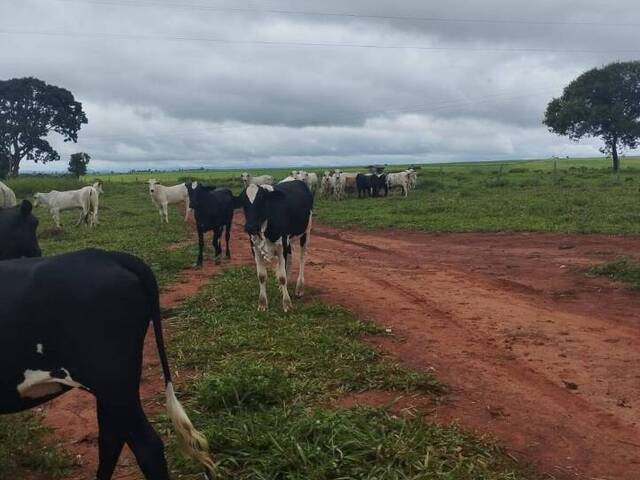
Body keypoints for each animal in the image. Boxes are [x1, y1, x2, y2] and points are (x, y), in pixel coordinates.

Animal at [235, 179, 316, 312]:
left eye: (262, 200)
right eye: (243, 202)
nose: (250, 227)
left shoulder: (281, 246)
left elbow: (282, 277)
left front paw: (287, 304)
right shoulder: (254, 248)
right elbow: (262, 276)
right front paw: (262, 304)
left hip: (306, 231)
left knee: (302, 258)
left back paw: (299, 288)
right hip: (288, 240)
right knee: (290, 259)